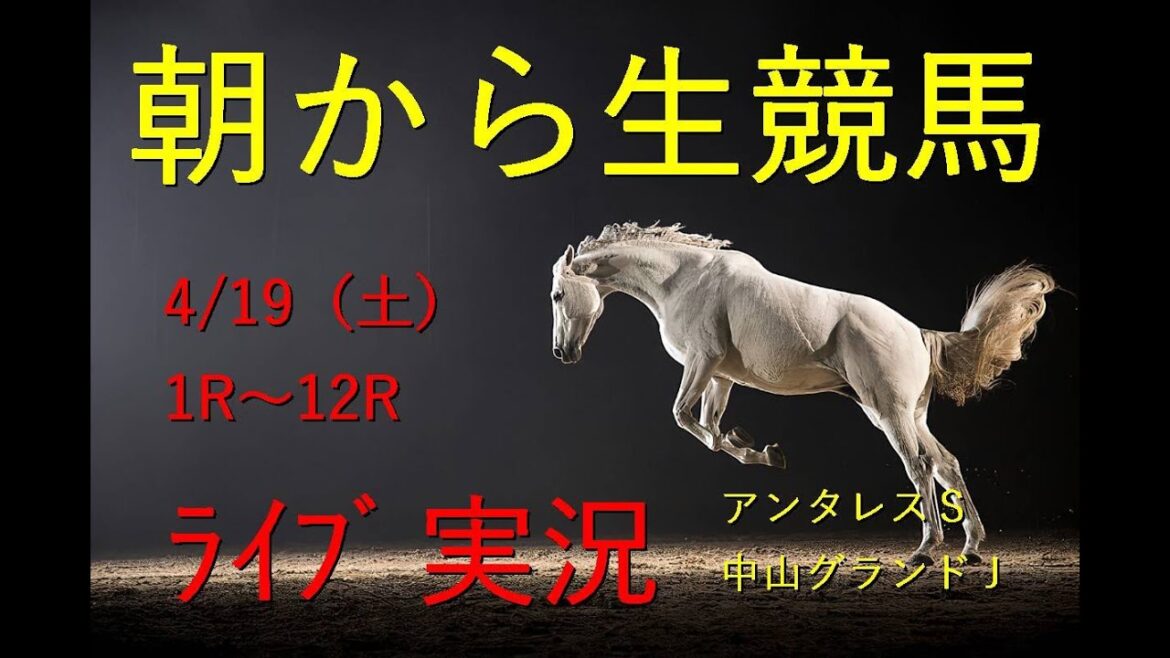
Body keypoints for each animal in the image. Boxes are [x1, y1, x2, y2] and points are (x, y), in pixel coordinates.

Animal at [549, 222, 1056, 565]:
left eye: (557, 295)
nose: (561, 352)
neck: (684, 279)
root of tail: (917, 332)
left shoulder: (702, 362)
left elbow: (683, 417)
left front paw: (755, 448)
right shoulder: (720, 376)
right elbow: (709, 429)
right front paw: (760, 450)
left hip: (890, 413)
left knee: (920, 466)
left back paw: (925, 551)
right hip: (906, 414)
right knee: (946, 464)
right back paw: (971, 545)